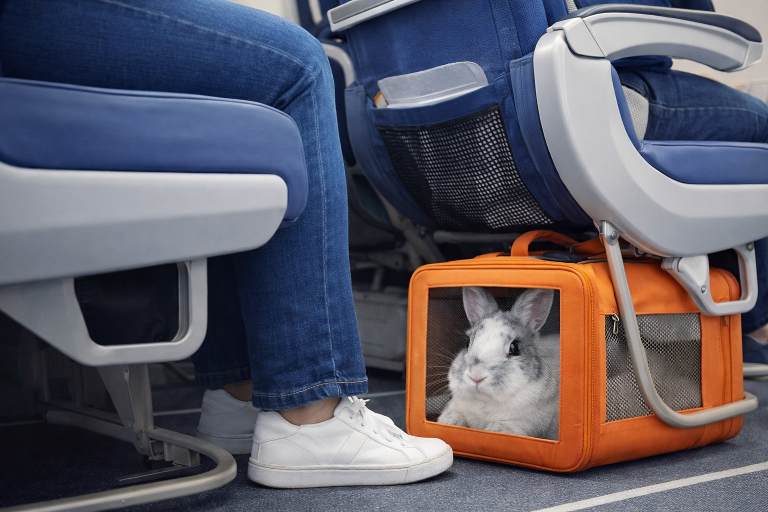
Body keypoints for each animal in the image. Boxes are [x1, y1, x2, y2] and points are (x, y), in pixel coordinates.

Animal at [437, 287, 560, 440]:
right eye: (467, 342)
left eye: (514, 348)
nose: (476, 376)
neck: (486, 400)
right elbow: (454, 415)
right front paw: (447, 423)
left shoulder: (527, 423)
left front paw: (494, 430)